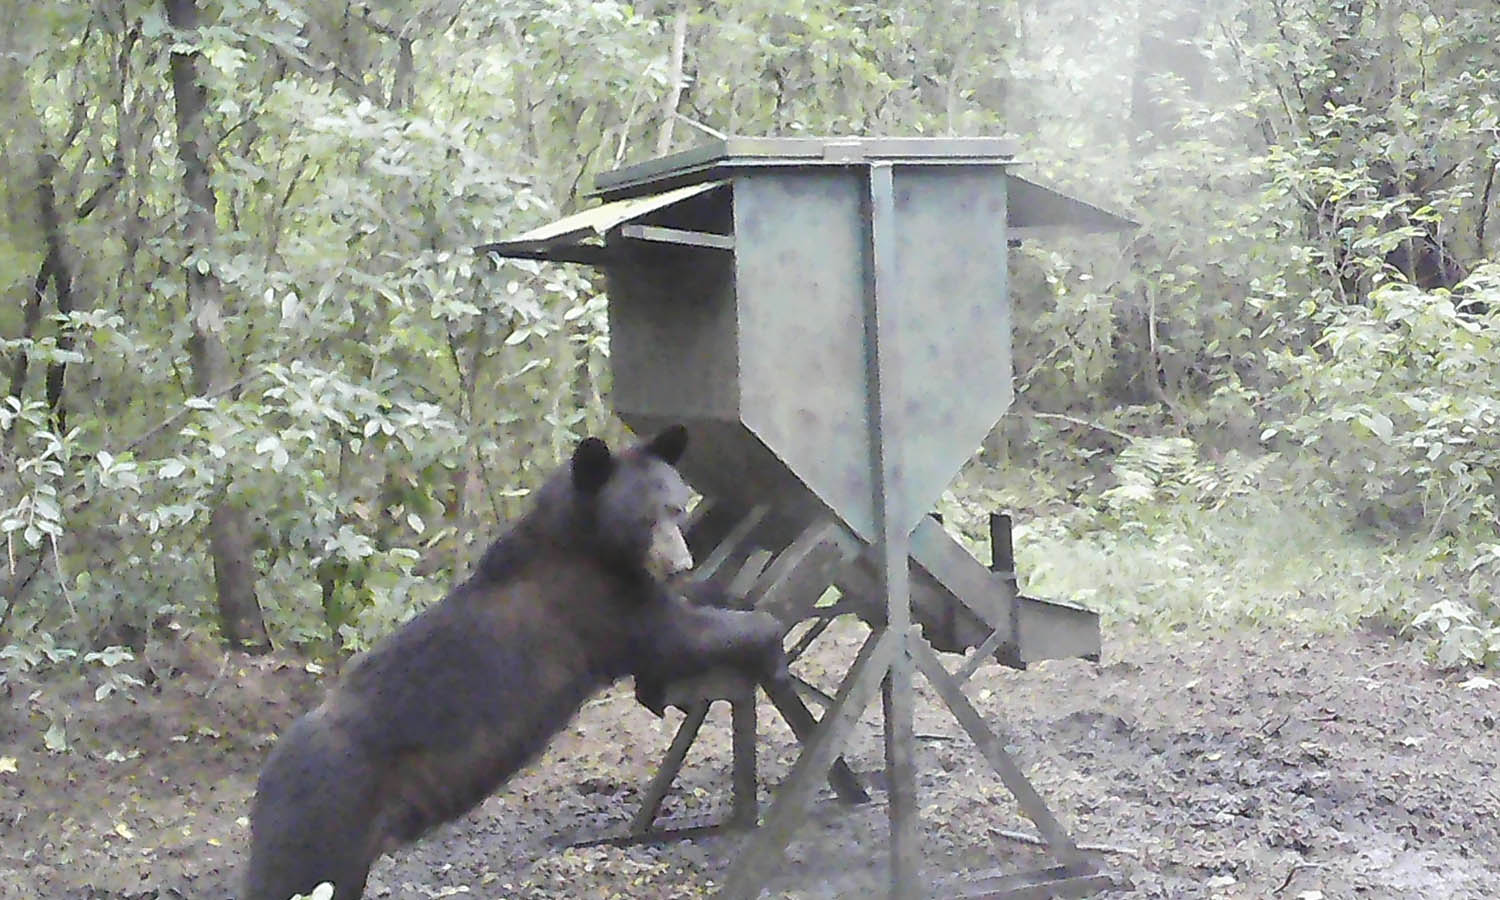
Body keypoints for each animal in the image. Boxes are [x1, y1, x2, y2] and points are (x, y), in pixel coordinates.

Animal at [246, 426, 786, 900]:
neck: (583, 538)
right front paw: (768, 635)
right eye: (644, 519)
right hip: (323, 822)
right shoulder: (596, 604)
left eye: (677, 506)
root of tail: (265, 782)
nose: (680, 563)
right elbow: (678, 635)